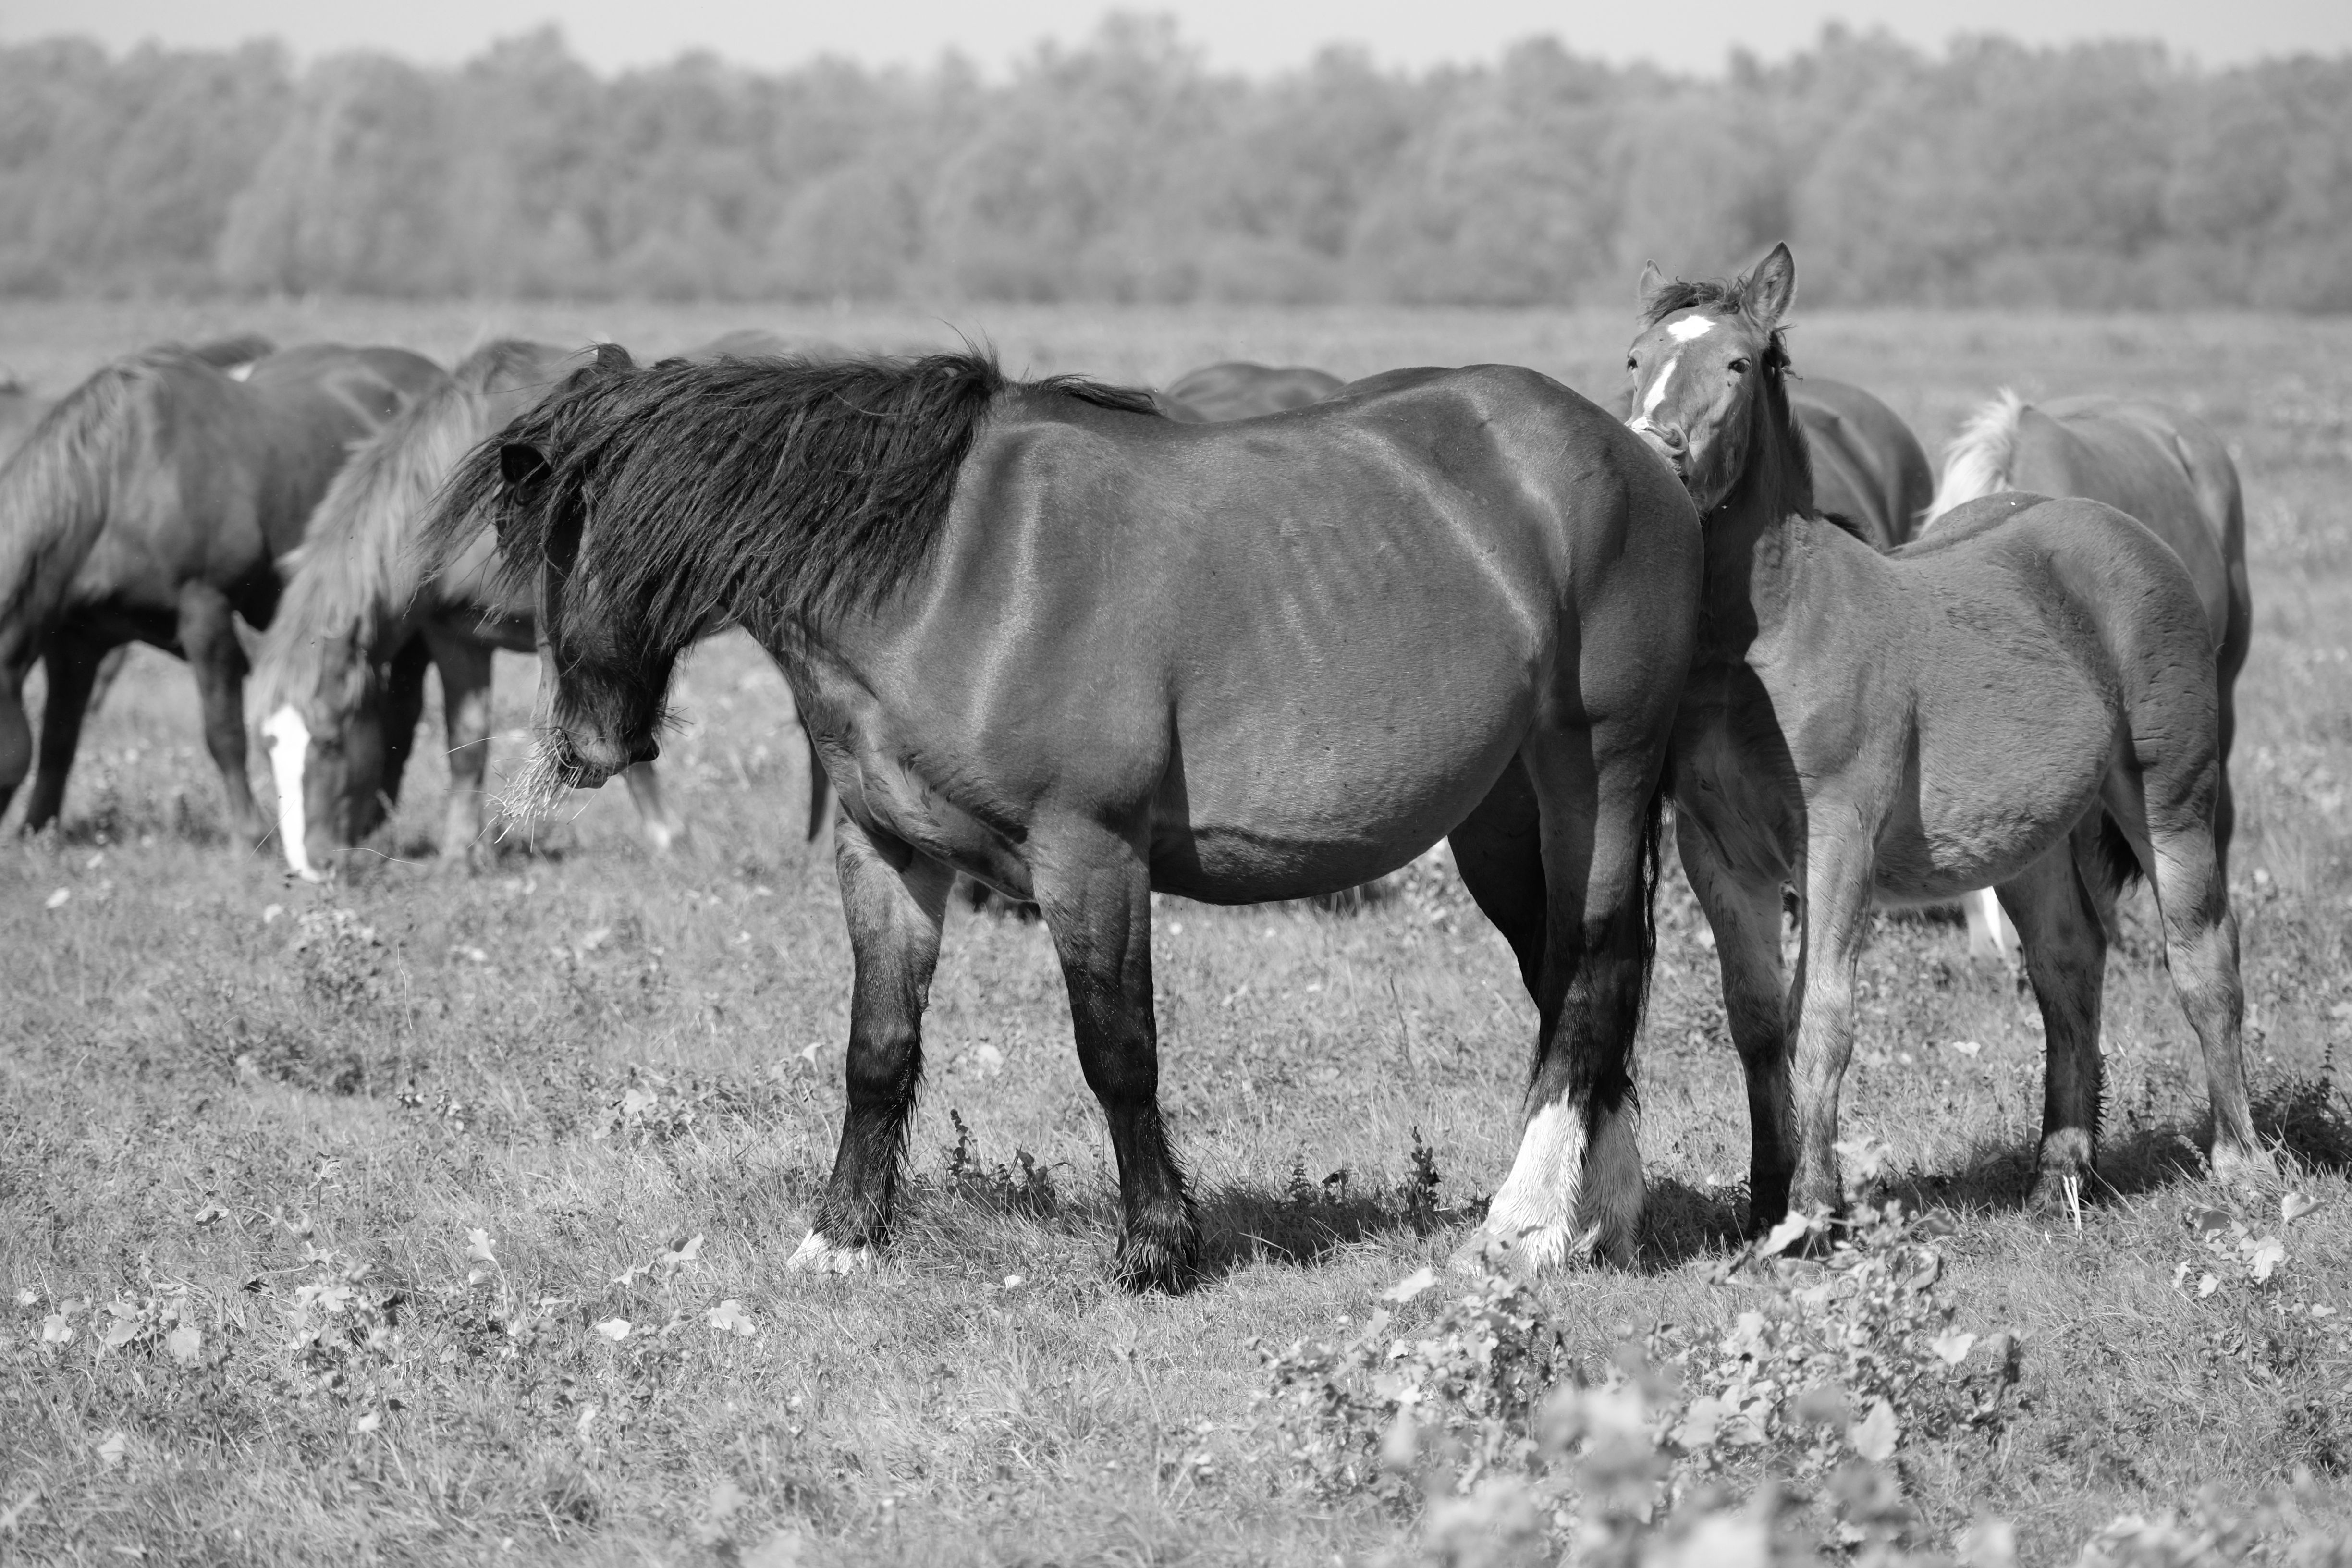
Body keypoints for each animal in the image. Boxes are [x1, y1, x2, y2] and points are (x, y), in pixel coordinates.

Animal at [0, 342, 444, 840]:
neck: (120, 482)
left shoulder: (205, 613)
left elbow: (223, 730)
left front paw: (249, 832)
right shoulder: (74, 639)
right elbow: (58, 735)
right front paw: (36, 828)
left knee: (402, 715)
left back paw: (374, 820)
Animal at [254, 334, 833, 880]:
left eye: (331, 742)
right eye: (268, 747)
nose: (309, 867)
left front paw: (671, 838)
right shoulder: (455, 636)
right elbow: (467, 742)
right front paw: (460, 856)